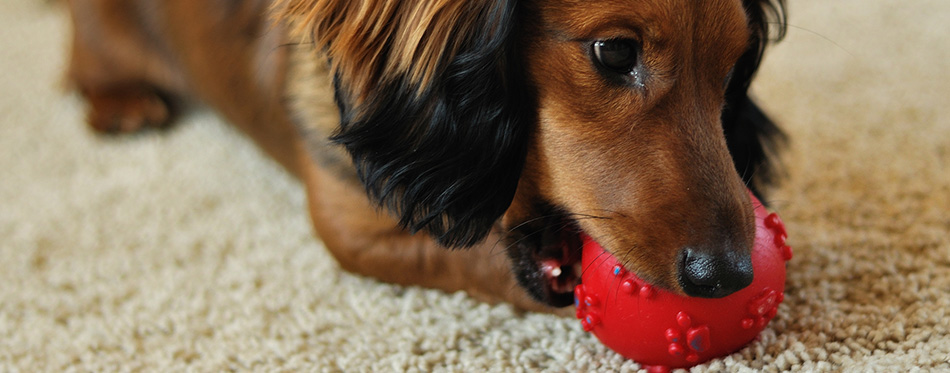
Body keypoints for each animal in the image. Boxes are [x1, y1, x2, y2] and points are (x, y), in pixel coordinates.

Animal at [67, 0, 788, 310]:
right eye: (614, 52)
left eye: (734, 68)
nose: (729, 275)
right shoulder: (349, 223)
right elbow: (464, 253)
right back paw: (122, 102)